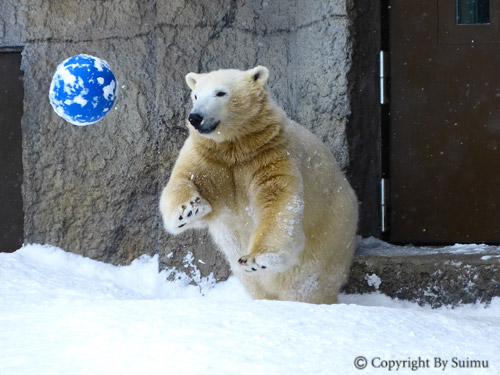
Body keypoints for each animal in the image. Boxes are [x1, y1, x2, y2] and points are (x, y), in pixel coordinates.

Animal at [158, 66, 358, 304]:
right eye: (196, 96)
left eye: (220, 93)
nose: (195, 117)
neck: (238, 145)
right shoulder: (211, 158)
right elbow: (185, 179)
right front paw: (189, 210)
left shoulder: (271, 154)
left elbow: (277, 202)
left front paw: (255, 260)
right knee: (253, 282)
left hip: (328, 237)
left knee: (305, 283)